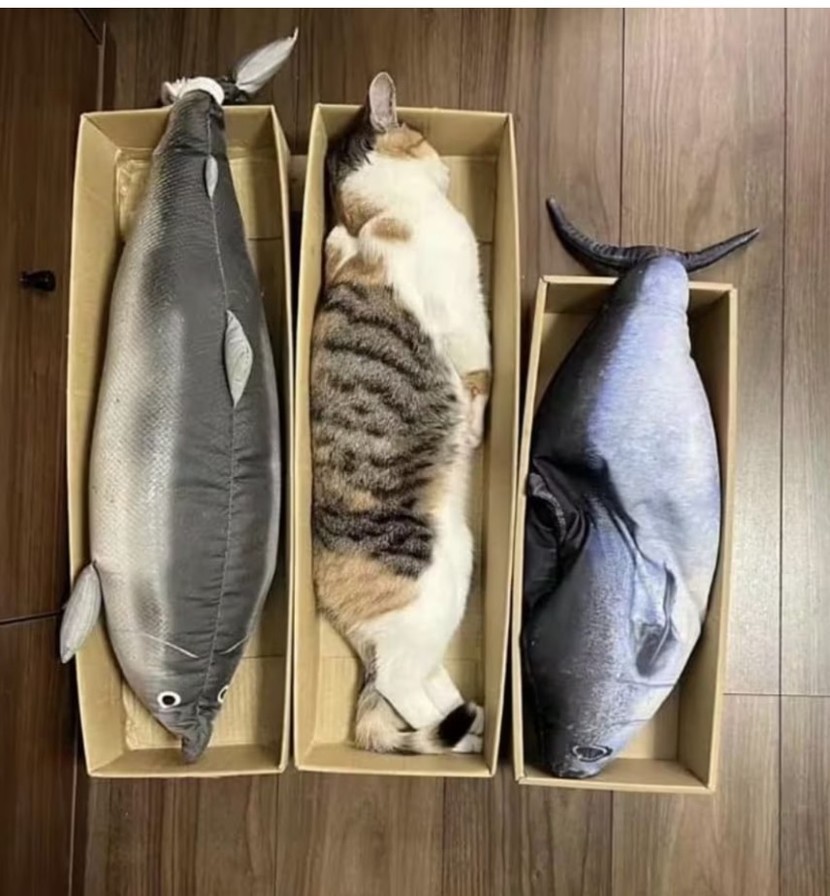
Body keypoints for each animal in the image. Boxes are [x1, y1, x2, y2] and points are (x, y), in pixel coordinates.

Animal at [310, 72, 491, 754]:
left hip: (451, 579)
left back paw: (473, 727)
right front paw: (476, 422)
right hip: (426, 583)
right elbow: (480, 372)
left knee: (419, 689)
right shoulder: (468, 321)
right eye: (420, 132)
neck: (372, 213)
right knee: (401, 691)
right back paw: (469, 735)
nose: (445, 165)